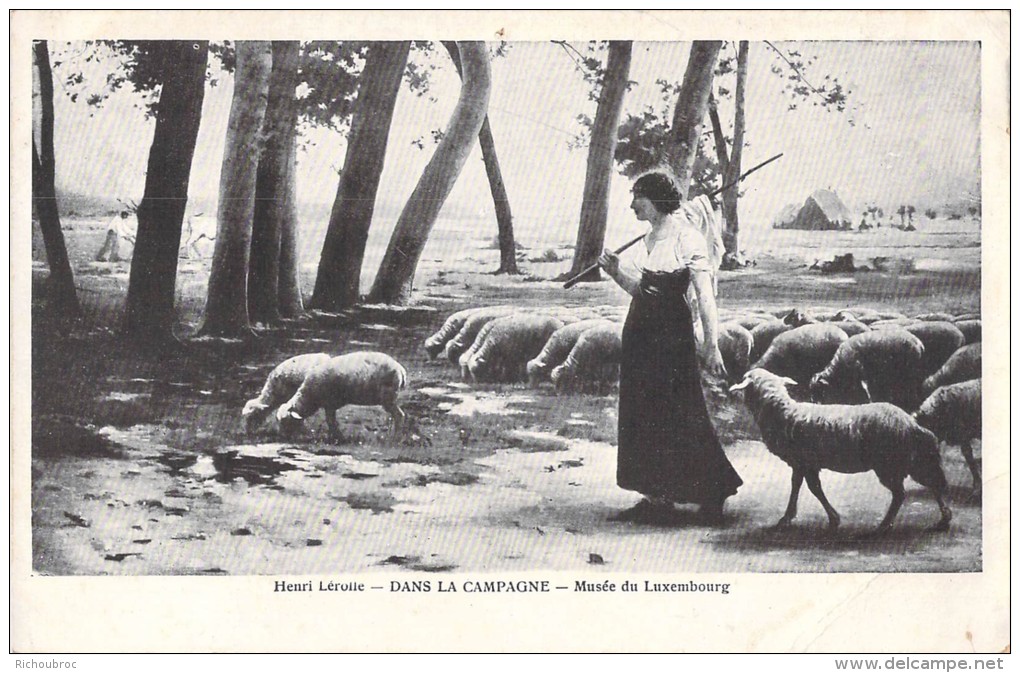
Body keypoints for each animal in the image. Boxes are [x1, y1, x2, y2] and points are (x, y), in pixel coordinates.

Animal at [279, 348, 410, 438]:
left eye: (287, 422)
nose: (282, 437)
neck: (310, 395)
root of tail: (400, 369)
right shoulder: (329, 405)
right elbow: (331, 421)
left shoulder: (330, 403)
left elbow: (331, 421)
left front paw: (337, 437)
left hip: (388, 397)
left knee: (399, 415)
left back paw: (395, 438)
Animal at [730, 367, 950, 534]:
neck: (781, 411)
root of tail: (912, 425)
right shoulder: (803, 463)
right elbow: (800, 486)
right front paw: (793, 516)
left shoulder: (804, 462)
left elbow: (812, 488)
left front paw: (828, 518)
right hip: (910, 460)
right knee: (931, 483)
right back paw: (943, 519)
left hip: (890, 464)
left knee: (904, 492)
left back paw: (885, 525)